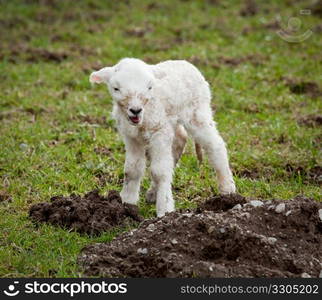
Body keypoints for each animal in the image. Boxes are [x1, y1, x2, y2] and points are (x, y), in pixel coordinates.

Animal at [89, 58, 235, 217]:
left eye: (149, 87)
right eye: (116, 88)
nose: (135, 110)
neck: (143, 118)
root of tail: (186, 63)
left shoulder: (160, 131)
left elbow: (159, 171)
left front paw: (164, 210)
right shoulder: (131, 136)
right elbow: (132, 169)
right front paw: (127, 203)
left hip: (197, 112)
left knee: (215, 145)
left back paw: (227, 190)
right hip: (172, 121)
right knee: (180, 139)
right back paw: (153, 193)